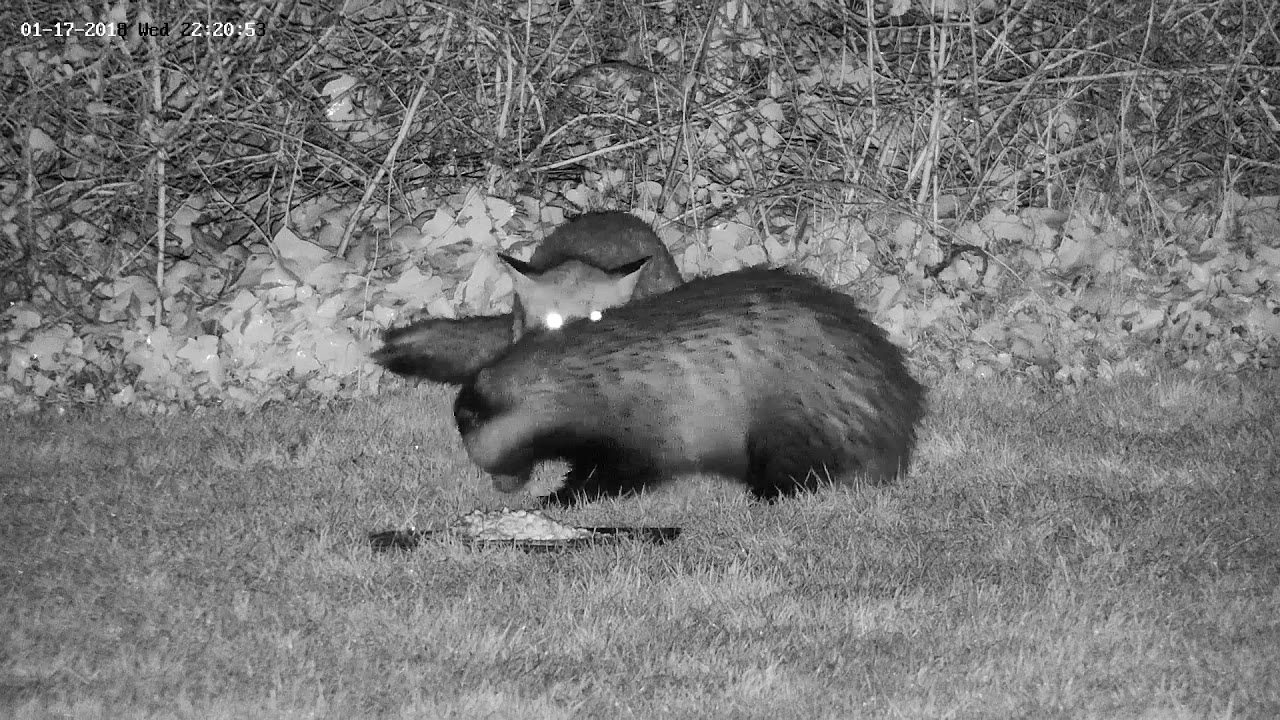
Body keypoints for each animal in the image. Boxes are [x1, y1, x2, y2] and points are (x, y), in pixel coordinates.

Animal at [452, 266, 927, 505]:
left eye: (481, 452)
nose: (501, 487)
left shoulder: (641, 428)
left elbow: (621, 474)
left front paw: (555, 498)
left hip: (797, 418)